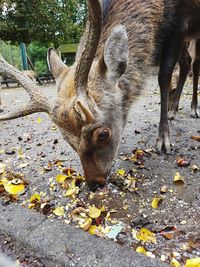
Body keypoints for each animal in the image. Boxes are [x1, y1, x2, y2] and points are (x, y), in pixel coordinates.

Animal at [0, 0, 200, 193]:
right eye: (67, 140)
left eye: (103, 134)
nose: (94, 183)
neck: (161, 9)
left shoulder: (179, 27)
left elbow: (164, 76)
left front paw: (164, 141)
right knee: (186, 63)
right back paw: (174, 110)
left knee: (194, 63)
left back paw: (193, 109)